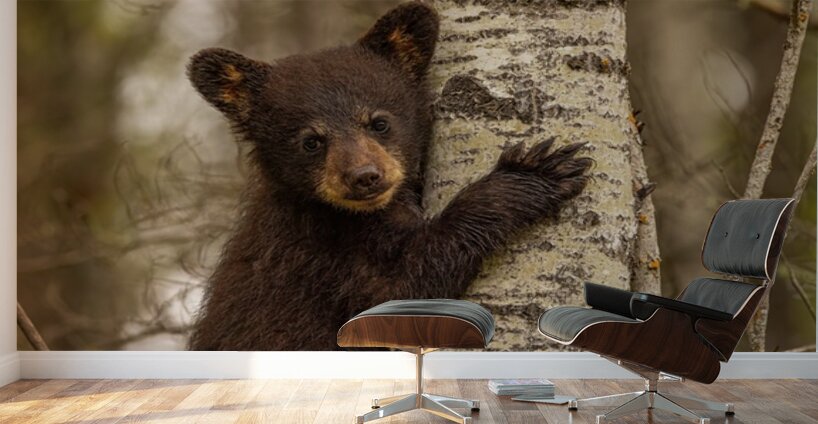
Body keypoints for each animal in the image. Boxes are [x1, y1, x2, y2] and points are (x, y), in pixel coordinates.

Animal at [186, 2, 592, 351]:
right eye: (311, 141)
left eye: (379, 122)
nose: (365, 176)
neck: (351, 216)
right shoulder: (319, 259)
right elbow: (401, 289)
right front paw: (533, 174)